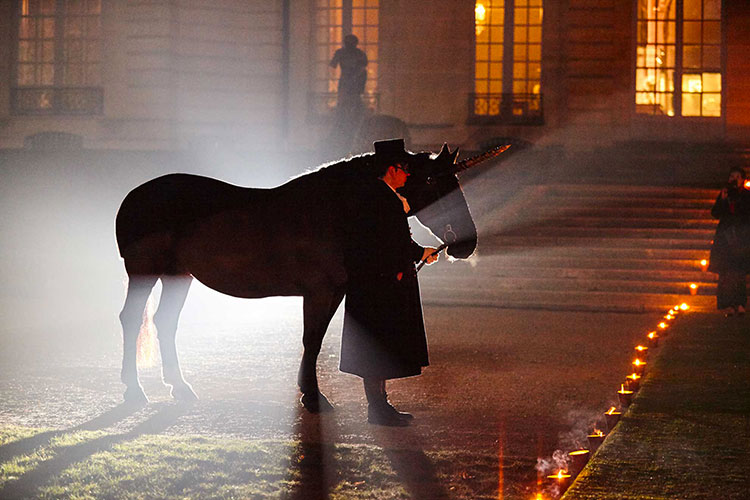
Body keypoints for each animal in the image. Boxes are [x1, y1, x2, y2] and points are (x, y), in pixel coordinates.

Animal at [114, 143, 512, 408]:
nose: (466, 243)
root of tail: (134, 196)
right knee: (131, 319)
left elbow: (314, 341)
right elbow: (312, 340)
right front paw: (312, 395)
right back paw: (134, 391)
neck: (336, 210)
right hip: (144, 272)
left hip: (178, 274)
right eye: (432, 181)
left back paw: (179, 387)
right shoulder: (320, 292)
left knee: (165, 322)